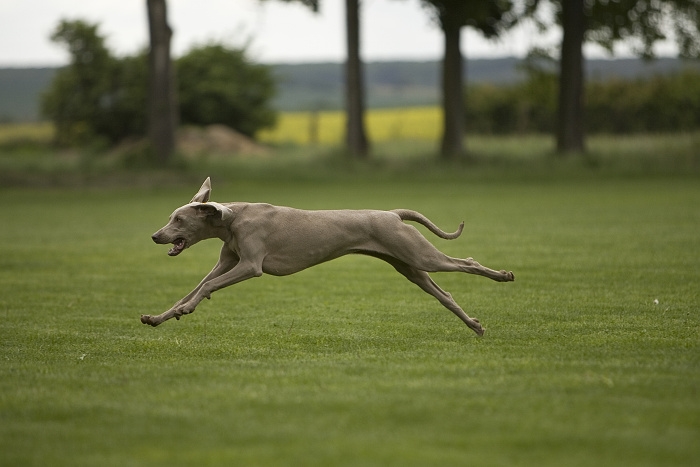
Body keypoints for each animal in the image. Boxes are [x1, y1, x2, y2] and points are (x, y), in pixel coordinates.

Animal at [142, 177, 516, 334]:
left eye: (178, 219)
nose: (155, 236)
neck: (232, 219)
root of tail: (392, 213)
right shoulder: (226, 262)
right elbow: (196, 288)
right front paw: (161, 317)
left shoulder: (250, 265)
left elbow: (206, 288)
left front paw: (185, 310)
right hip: (410, 267)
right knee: (446, 295)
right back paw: (475, 325)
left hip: (421, 257)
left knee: (466, 263)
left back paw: (503, 276)